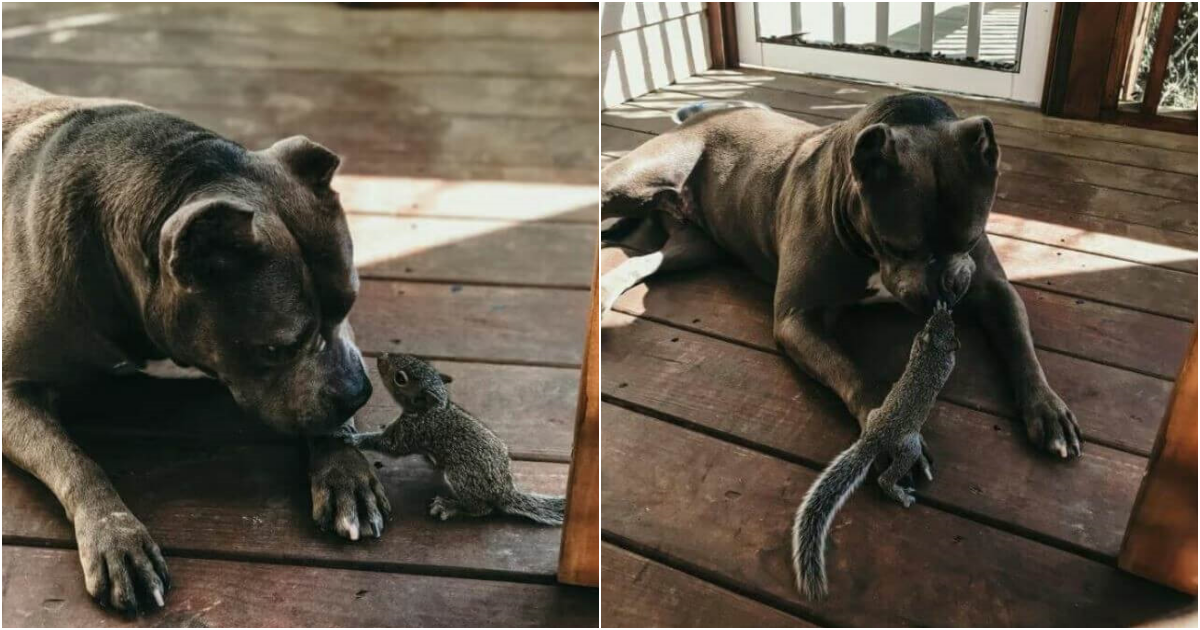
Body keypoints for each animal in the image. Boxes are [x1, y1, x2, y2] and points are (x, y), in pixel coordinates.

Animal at [2, 78, 388, 614]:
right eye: (275, 350)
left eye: (350, 304)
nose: (358, 393)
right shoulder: (11, 391)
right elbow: (76, 461)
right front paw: (115, 535)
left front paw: (346, 469)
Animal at [348, 352, 566, 525]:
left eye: (400, 378)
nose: (381, 356)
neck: (430, 410)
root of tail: (504, 492)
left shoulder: (412, 431)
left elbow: (389, 446)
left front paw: (354, 438)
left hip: (462, 476)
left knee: (482, 509)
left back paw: (451, 506)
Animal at [604, 94, 1084, 470]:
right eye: (896, 245)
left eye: (971, 237)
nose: (942, 292)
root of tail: (704, 113)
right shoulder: (798, 319)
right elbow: (853, 371)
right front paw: (889, 435)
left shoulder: (994, 291)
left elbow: (1020, 346)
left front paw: (1048, 407)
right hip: (629, 183)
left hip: (695, 246)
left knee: (642, 262)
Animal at [792, 302, 960, 597]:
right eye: (950, 327)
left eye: (940, 321)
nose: (944, 309)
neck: (930, 353)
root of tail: (874, 436)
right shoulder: (944, 362)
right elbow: (951, 362)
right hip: (907, 446)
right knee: (887, 476)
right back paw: (898, 490)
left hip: (874, 415)